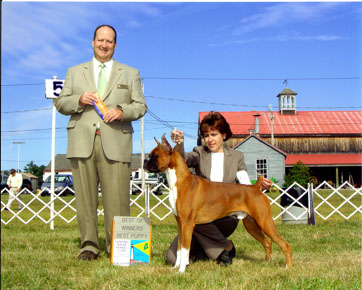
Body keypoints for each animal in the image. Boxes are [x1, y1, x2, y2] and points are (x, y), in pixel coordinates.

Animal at [144, 135, 292, 274]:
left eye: (155, 155)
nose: (145, 161)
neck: (180, 181)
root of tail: (255, 187)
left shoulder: (187, 224)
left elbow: (185, 249)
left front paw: (181, 271)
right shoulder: (180, 224)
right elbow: (180, 249)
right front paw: (175, 267)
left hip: (264, 222)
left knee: (285, 244)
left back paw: (287, 267)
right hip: (252, 225)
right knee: (267, 242)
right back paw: (265, 263)